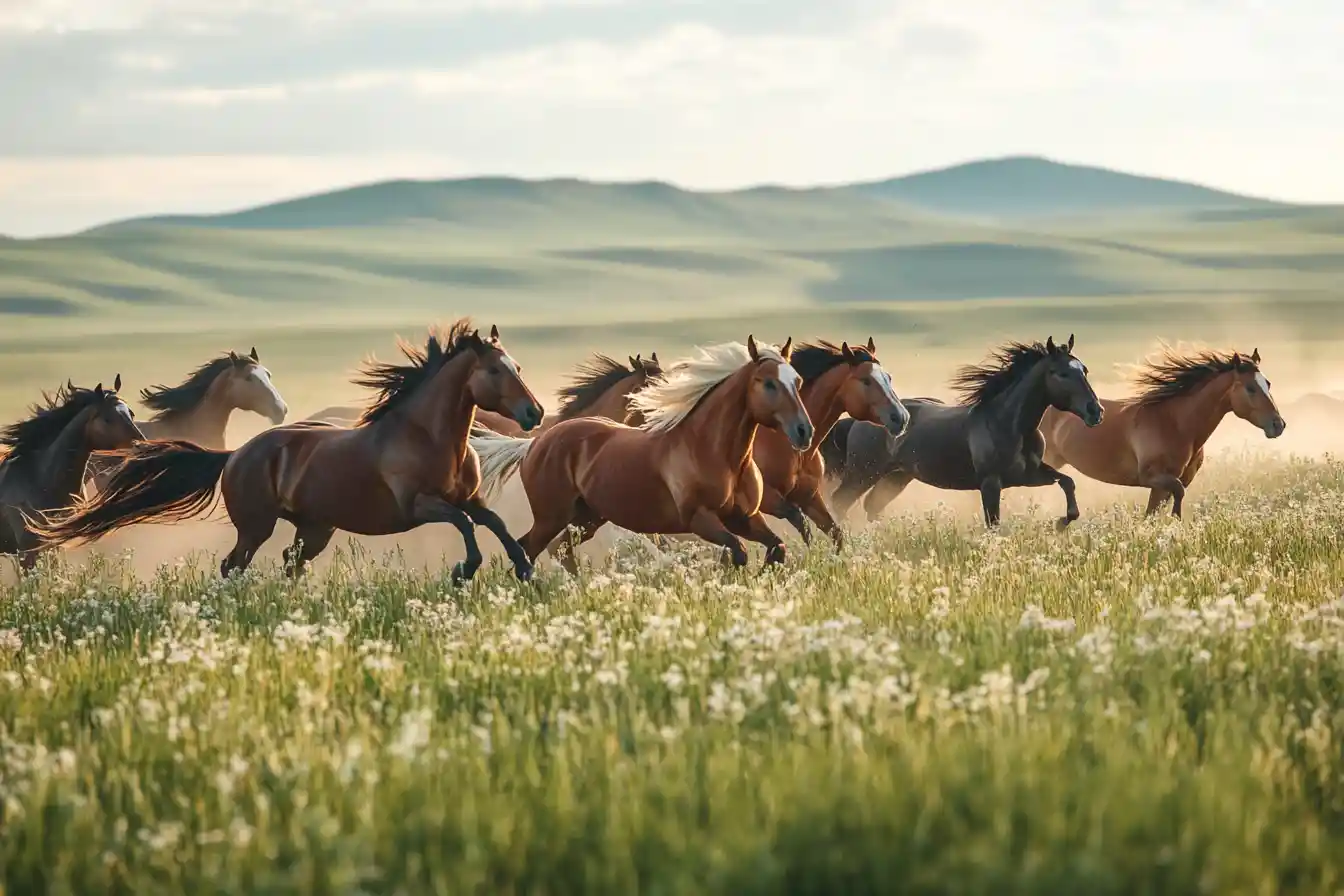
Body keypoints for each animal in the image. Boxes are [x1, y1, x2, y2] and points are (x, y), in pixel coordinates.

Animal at [0, 377, 144, 570]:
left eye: (131, 413)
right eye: (107, 419)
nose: (142, 445)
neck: (41, 482)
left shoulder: (54, 545)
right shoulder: (26, 551)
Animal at [470, 337, 813, 572]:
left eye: (797, 381)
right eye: (768, 383)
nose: (803, 431)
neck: (715, 452)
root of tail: (535, 444)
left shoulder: (745, 517)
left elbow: (776, 547)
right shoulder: (700, 519)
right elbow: (737, 552)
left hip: (587, 518)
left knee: (555, 549)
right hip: (552, 517)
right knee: (529, 548)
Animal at [752, 338, 908, 550]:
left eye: (889, 378)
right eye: (866, 380)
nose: (901, 417)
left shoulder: (809, 497)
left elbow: (835, 533)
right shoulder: (767, 498)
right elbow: (800, 523)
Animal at [822, 335, 1103, 529]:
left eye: (1084, 370)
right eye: (1062, 373)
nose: (1095, 411)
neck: (1011, 425)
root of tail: (857, 421)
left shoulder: (1029, 475)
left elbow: (1068, 482)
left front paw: (1061, 523)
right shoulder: (990, 483)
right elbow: (993, 524)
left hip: (896, 477)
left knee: (871, 505)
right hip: (863, 472)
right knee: (840, 501)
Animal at [1039, 346, 1284, 518]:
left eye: (1268, 384)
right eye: (1250, 388)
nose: (1278, 425)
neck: (1175, 423)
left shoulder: (1170, 483)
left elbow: (1153, 513)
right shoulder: (1153, 478)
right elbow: (1176, 496)